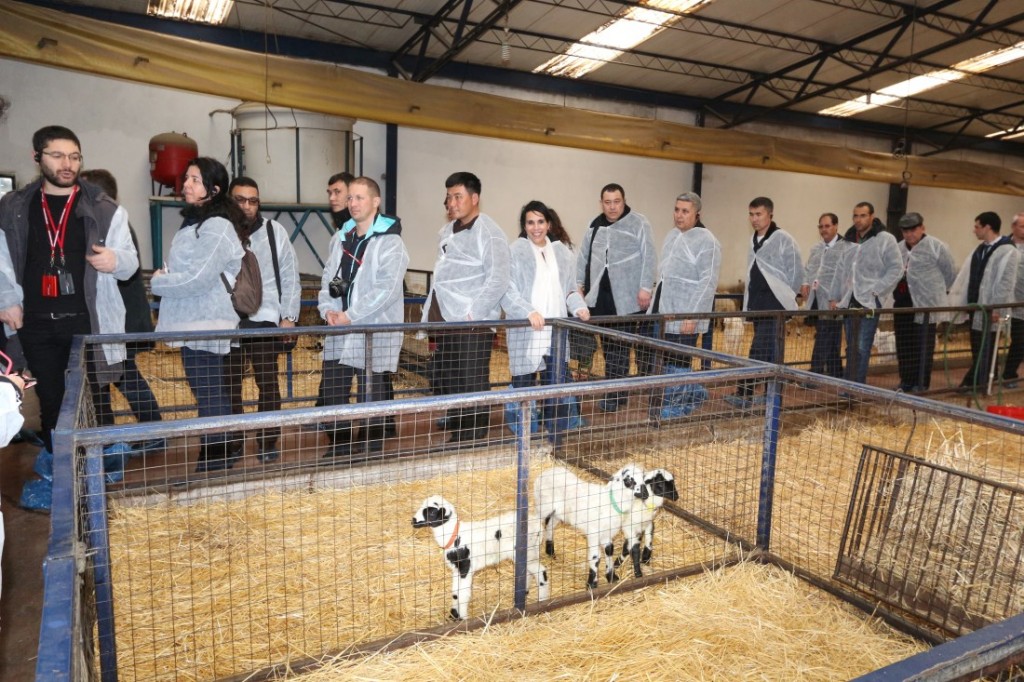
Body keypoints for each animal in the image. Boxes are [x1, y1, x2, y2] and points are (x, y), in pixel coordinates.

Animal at [412, 495, 549, 621]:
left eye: (432, 512)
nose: (413, 520)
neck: (455, 536)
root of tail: (538, 523)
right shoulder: (456, 569)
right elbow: (455, 593)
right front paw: (453, 616)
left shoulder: (466, 567)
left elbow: (463, 594)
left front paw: (463, 619)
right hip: (528, 552)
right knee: (528, 572)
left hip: (528, 551)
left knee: (541, 572)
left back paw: (542, 602)